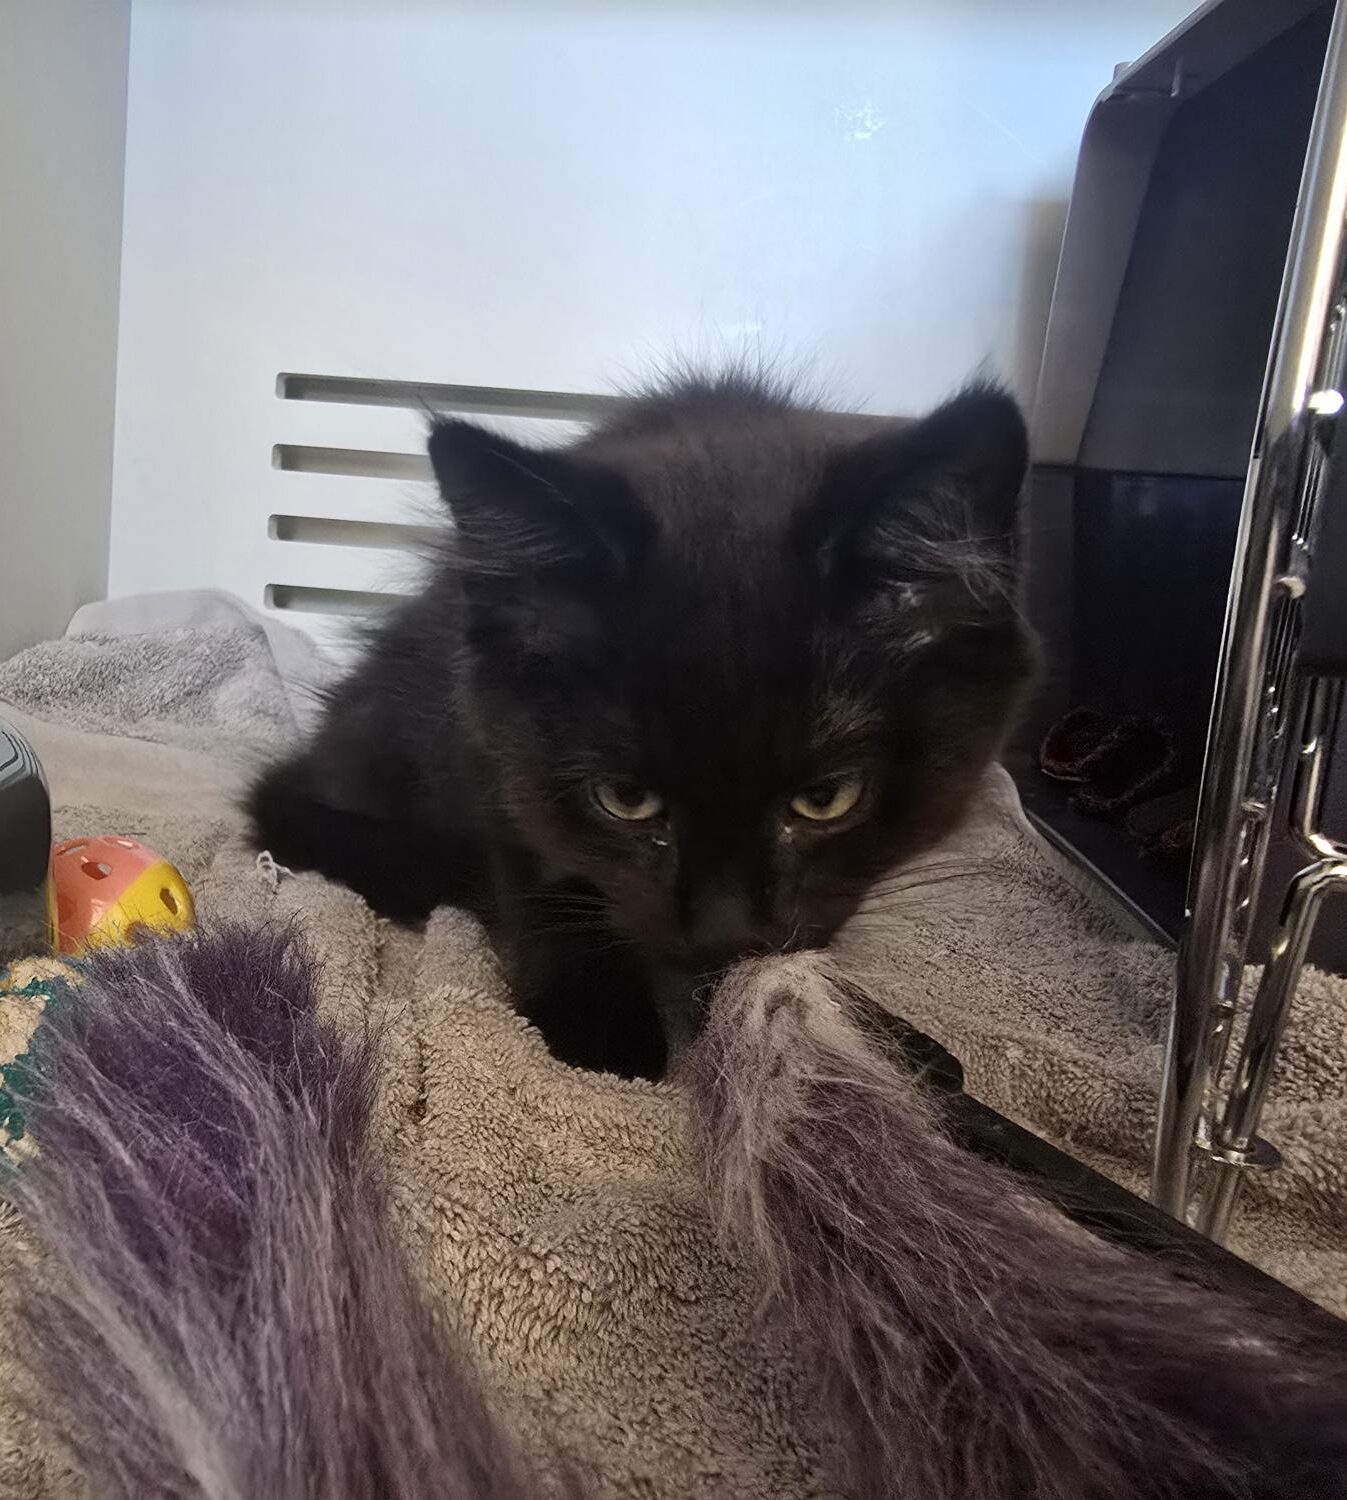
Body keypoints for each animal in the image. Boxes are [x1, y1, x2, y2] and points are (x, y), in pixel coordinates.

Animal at [246, 372, 1035, 1078]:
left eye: (825, 799)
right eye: (626, 801)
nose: (725, 934)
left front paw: (881, 1036)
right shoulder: (487, 747)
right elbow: (539, 871)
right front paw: (596, 1014)